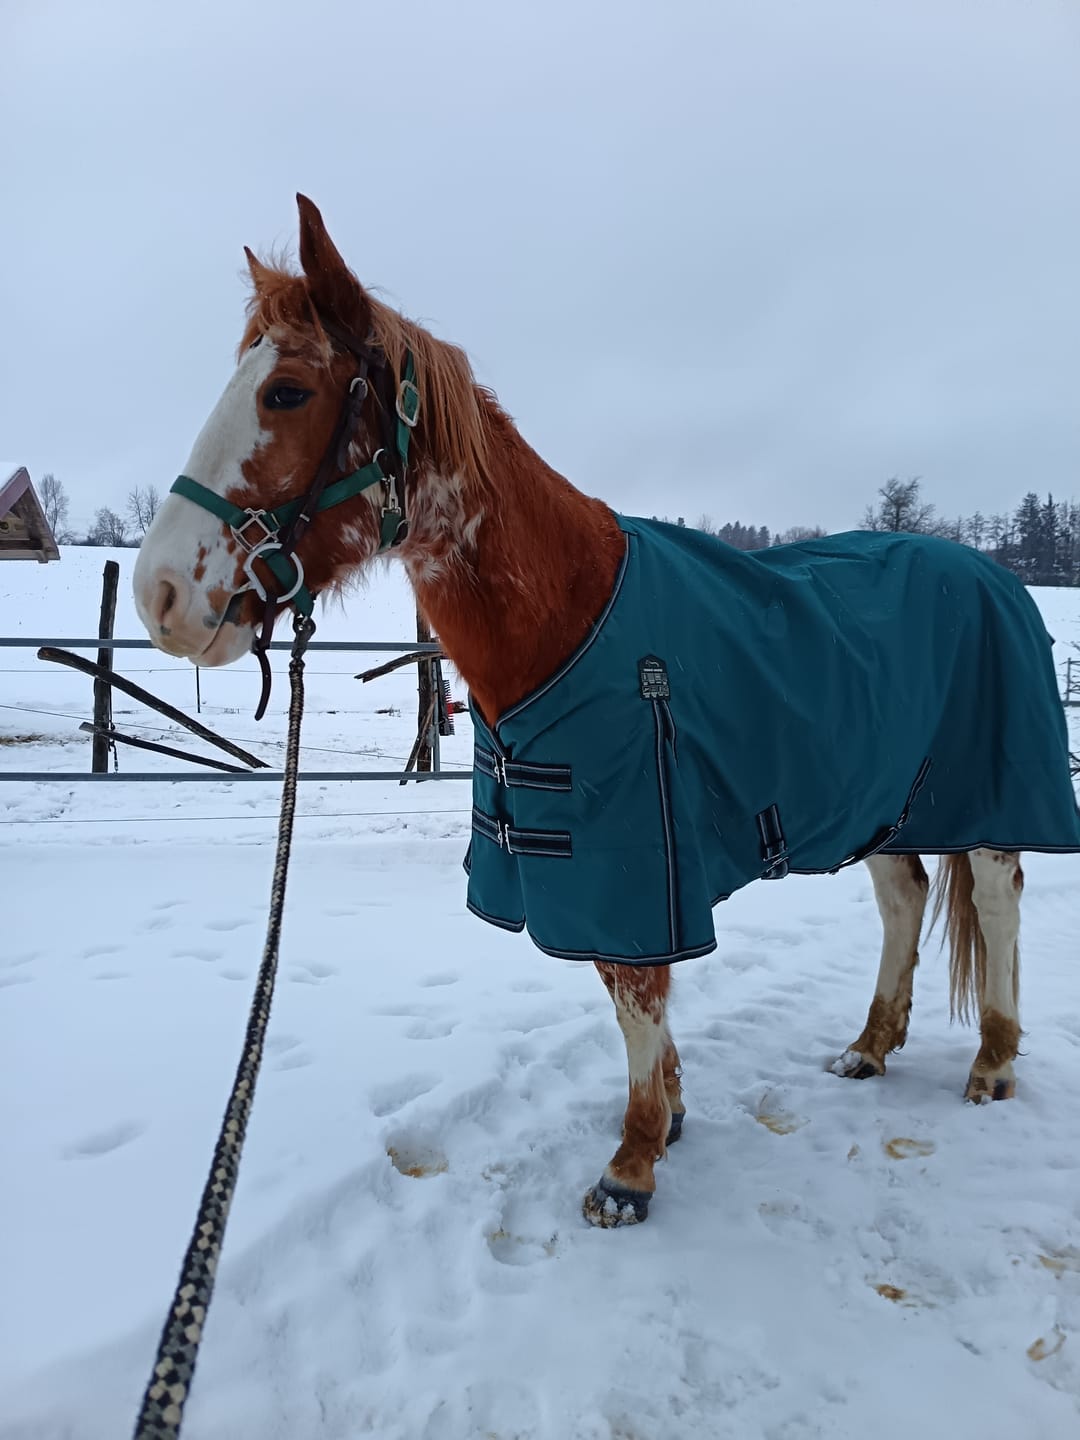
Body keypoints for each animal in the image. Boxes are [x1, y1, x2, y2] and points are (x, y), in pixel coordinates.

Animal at [134, 194, 1079, 1228]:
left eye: (287, 394)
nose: (159, 594)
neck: (568, 612)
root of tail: (991, 573)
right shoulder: (583, 860)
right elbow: (620, 985)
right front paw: (668, 1115)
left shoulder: (634, 853)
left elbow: (636, 989)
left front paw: (630, 1164)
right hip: (876, 796)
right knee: (903, 896)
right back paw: (869, 1047)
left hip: (985, 797)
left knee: (996, 897)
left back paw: (992, 1062)